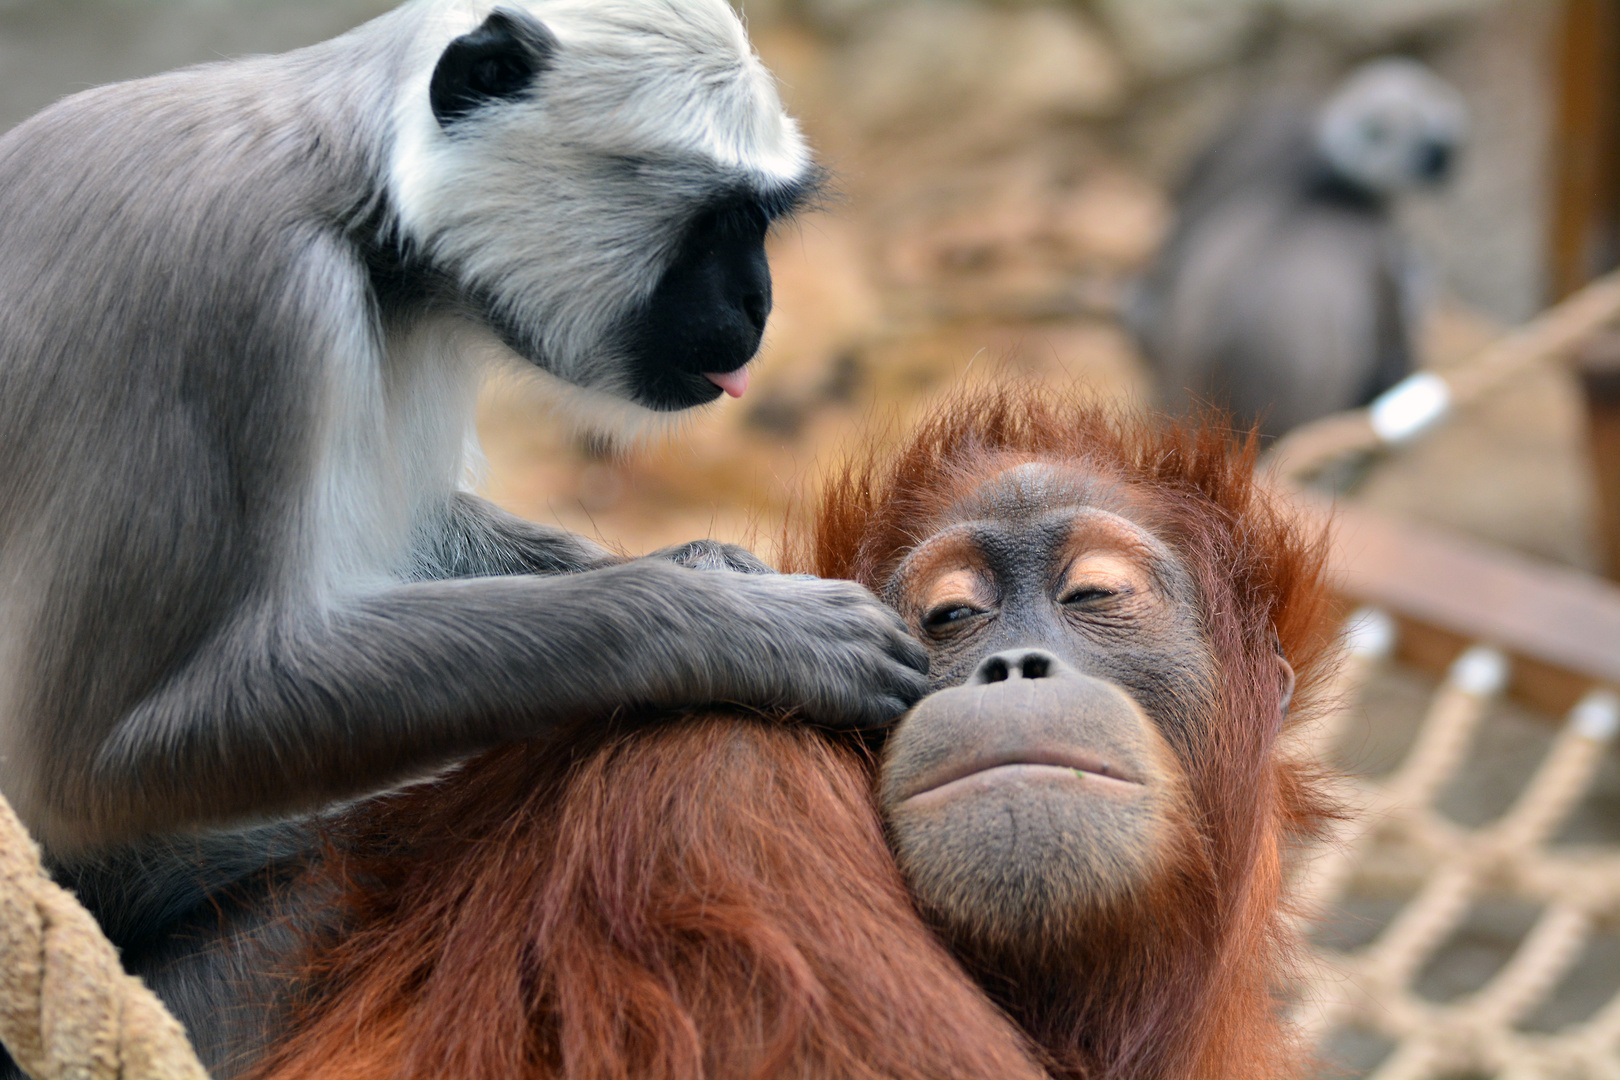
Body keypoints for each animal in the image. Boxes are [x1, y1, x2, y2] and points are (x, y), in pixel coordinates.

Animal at [0, 0, 933, 977]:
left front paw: (710, 567)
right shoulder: (237, 294)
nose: (759, 304)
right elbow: (99, 760)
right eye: (723, 222)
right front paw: (736, 625)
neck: (348, 190)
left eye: (756, 222)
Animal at [1127, 58, 1470, 440]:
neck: (1326, 192)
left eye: (1443, 134)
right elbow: (1394, 346)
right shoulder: (1378, 255)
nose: (1447, 163)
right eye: (1428, 151)